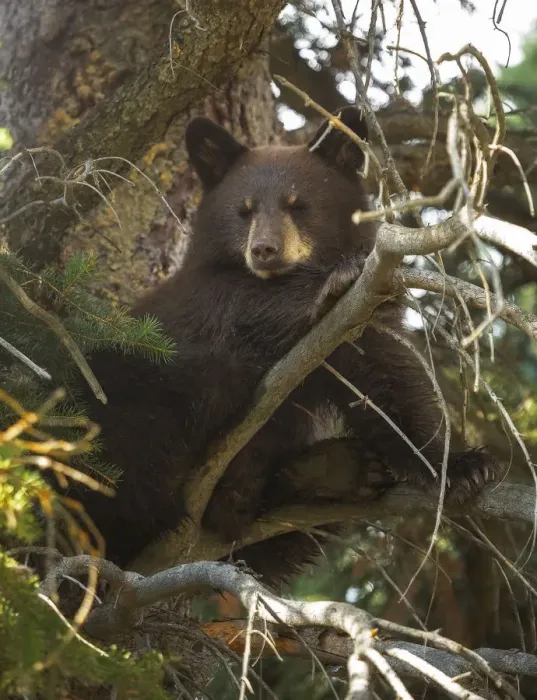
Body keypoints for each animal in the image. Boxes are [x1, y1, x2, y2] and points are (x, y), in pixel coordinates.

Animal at [71, 106, 502, 584]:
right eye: (244, 210)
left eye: (298, 204)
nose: (264, 250)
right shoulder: (210, 299)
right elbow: (251, 307)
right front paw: (337, 279)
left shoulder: (356, 332)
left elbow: (391, 387)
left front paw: (460, 467)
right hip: (118, 396)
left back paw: (336, 471)